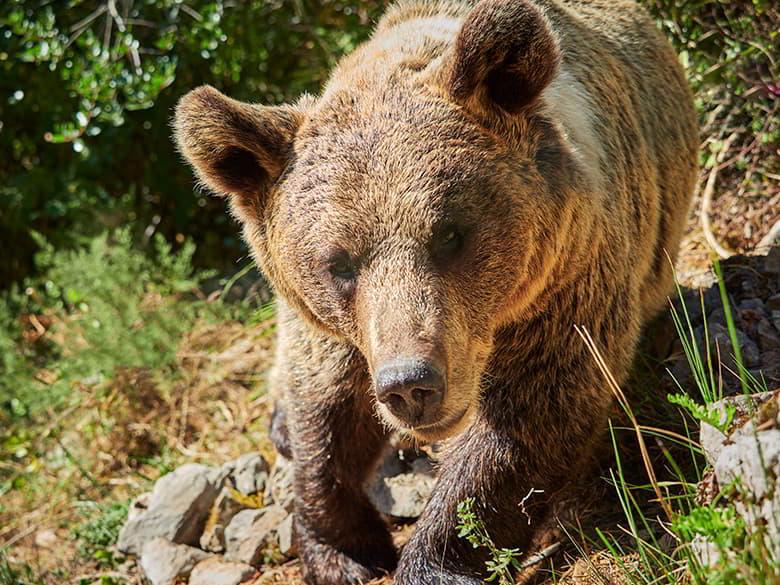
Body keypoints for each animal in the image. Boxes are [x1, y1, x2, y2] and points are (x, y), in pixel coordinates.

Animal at [173, 0, 698, 583]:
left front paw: (438, 556)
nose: (410, 384)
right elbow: (325, 407)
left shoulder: (567, 284)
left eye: (449, 235)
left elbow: (528, 419)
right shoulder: (331, 326)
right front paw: (341, 547)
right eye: (338, 263)